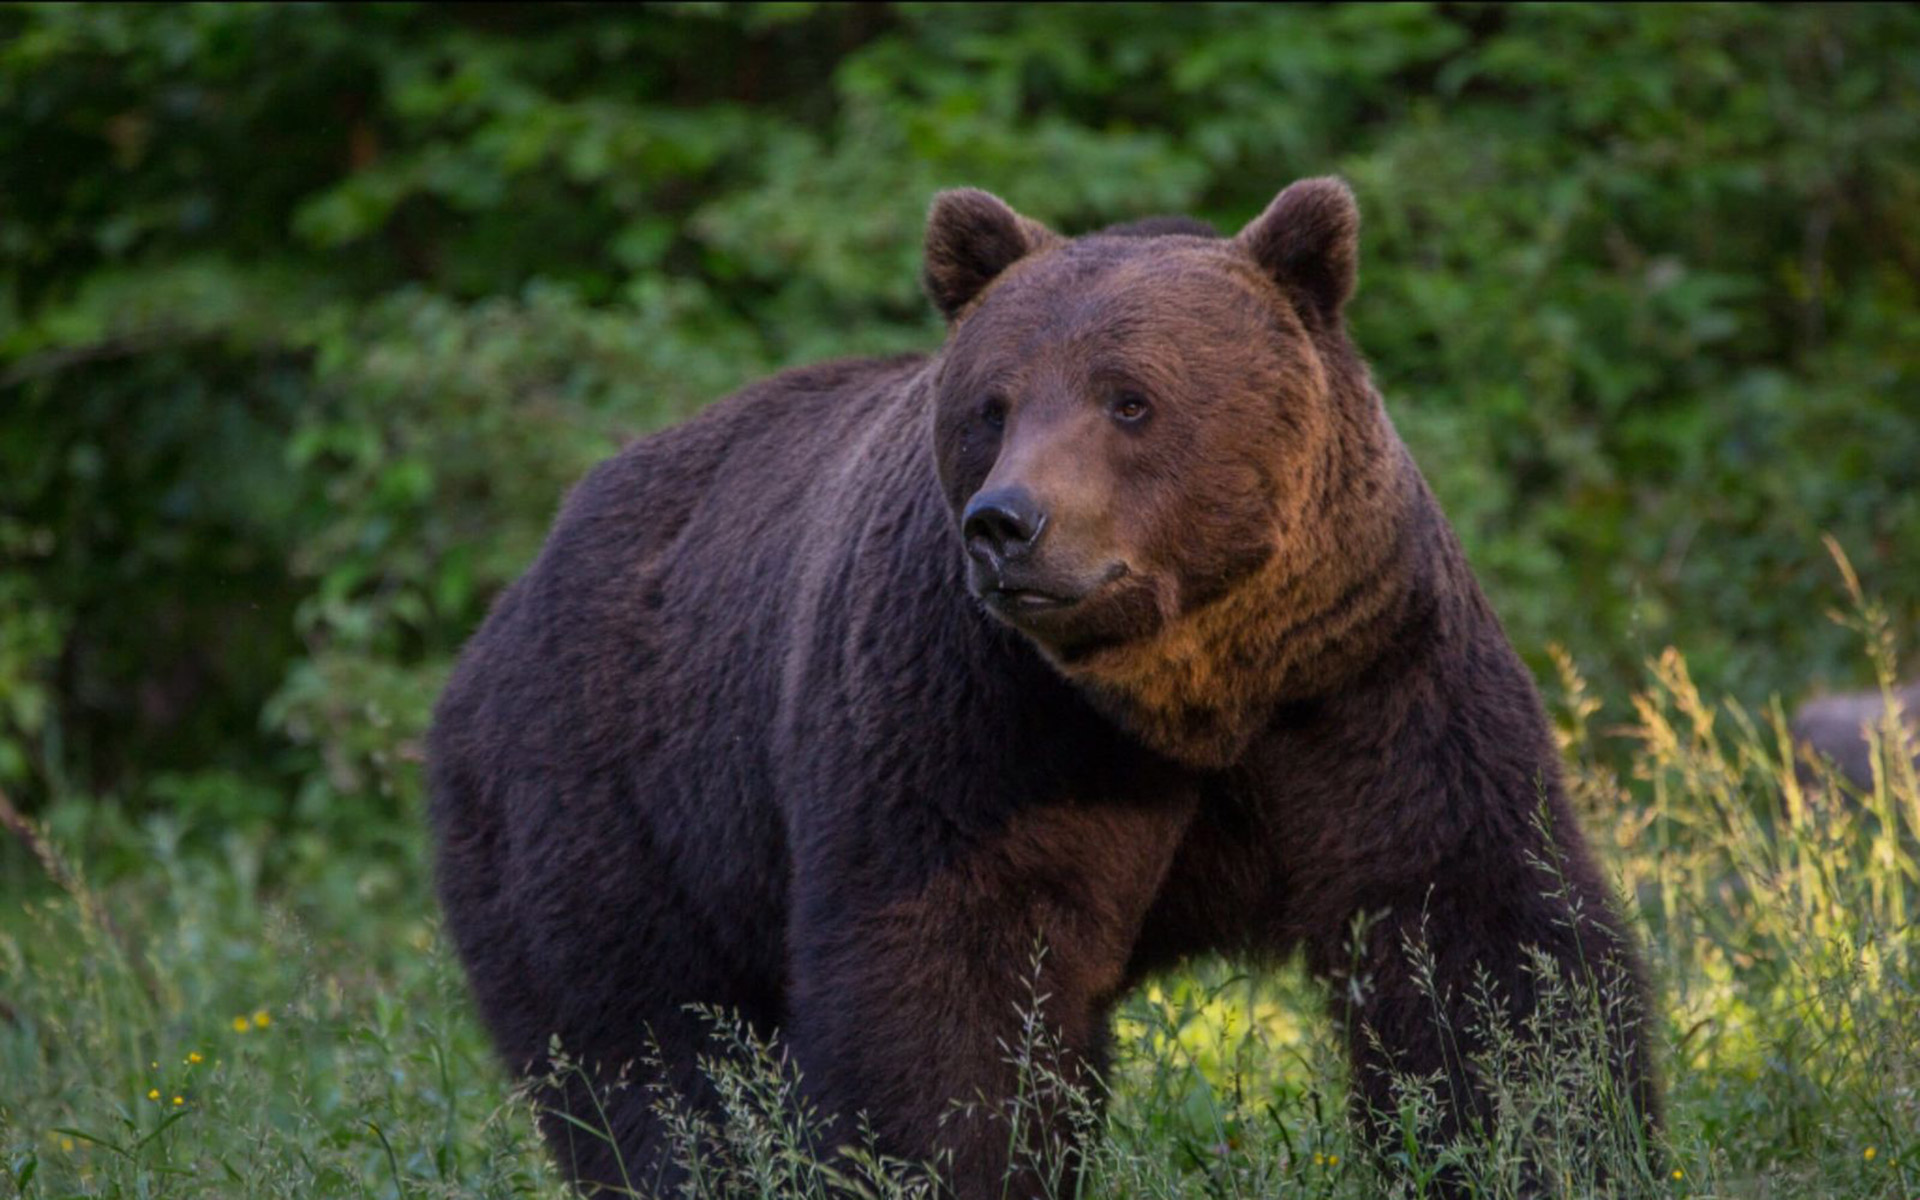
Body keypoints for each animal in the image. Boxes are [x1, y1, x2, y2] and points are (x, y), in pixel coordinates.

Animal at [428, 172, 1658, 1190]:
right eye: (993, 404)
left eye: (1130, 399)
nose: (1007, 524)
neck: (1190, 694)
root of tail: (504, 610)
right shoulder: (972, 715)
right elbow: (956, 991)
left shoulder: (1364, 678)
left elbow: (1478, 941)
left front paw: (1557, 1145)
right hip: (608, 801)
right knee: (652, 1057)